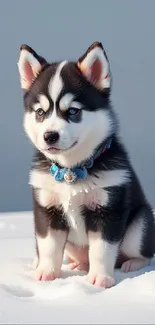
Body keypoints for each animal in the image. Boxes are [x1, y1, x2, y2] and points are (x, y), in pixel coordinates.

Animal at [17, 41, 154, 288]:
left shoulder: (107, 209)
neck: (70, 170)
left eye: (73, 111)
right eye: (40, 112)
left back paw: (132, 264)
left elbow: (101, 250)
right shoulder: (47, 209)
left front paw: (100, 278)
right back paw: (76, 265)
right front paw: (46, 273)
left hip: (140, 224)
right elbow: (49, 247)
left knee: (142, 254)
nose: (49, 136)